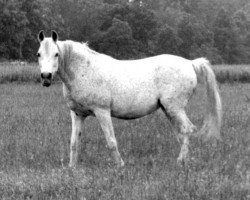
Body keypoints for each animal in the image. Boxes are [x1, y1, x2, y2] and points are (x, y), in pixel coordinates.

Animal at [36, 30, 222, 167]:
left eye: (56, 54)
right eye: (38, 54)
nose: (46, 77)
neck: (85, 70)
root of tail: (190, 63)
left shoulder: (102, 112)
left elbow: (111, 141)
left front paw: (120, 166)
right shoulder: (77, 115)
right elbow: (74, 142)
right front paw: (72, 168)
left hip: (174, 108)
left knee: (187, 130)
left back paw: (182, 162)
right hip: (168, 110)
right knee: (181, 134)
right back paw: (181, 161)